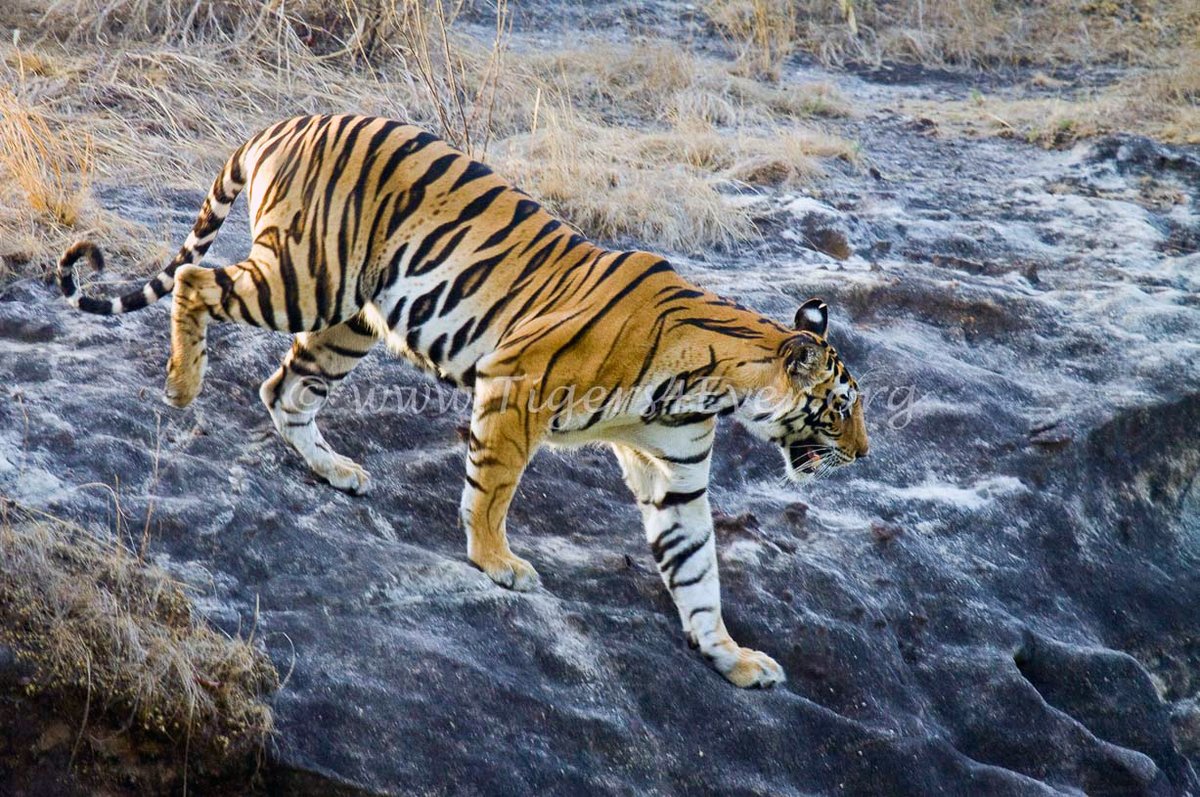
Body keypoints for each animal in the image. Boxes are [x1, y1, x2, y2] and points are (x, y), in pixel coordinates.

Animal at [58, 114, 869, 688]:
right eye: (838, 408)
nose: (863, 454)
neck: (709, 384)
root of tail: (287, 121)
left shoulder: (674, 474)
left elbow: (698, 569)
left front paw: (732, 658)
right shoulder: (518, 383)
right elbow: (494, 486)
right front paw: (495, 561)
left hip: (351, 317)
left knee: (282, 387)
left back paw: (338, 471)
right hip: (306, 276)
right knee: (198, 284)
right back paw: (182, 383)